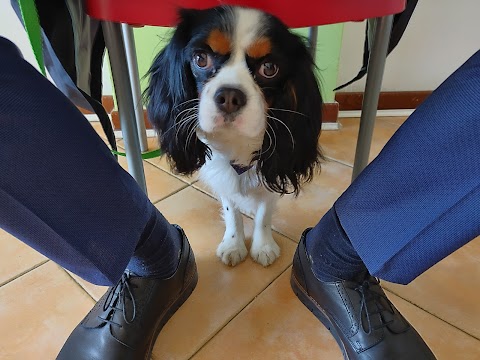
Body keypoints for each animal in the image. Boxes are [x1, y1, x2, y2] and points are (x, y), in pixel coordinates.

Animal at [146, 5, 324, 268]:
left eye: (269, 68)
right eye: (201, 59)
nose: (230, 96)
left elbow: (264, 214)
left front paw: (263, 246)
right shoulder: (222, 177)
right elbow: (232, 212)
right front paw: (233, 244)